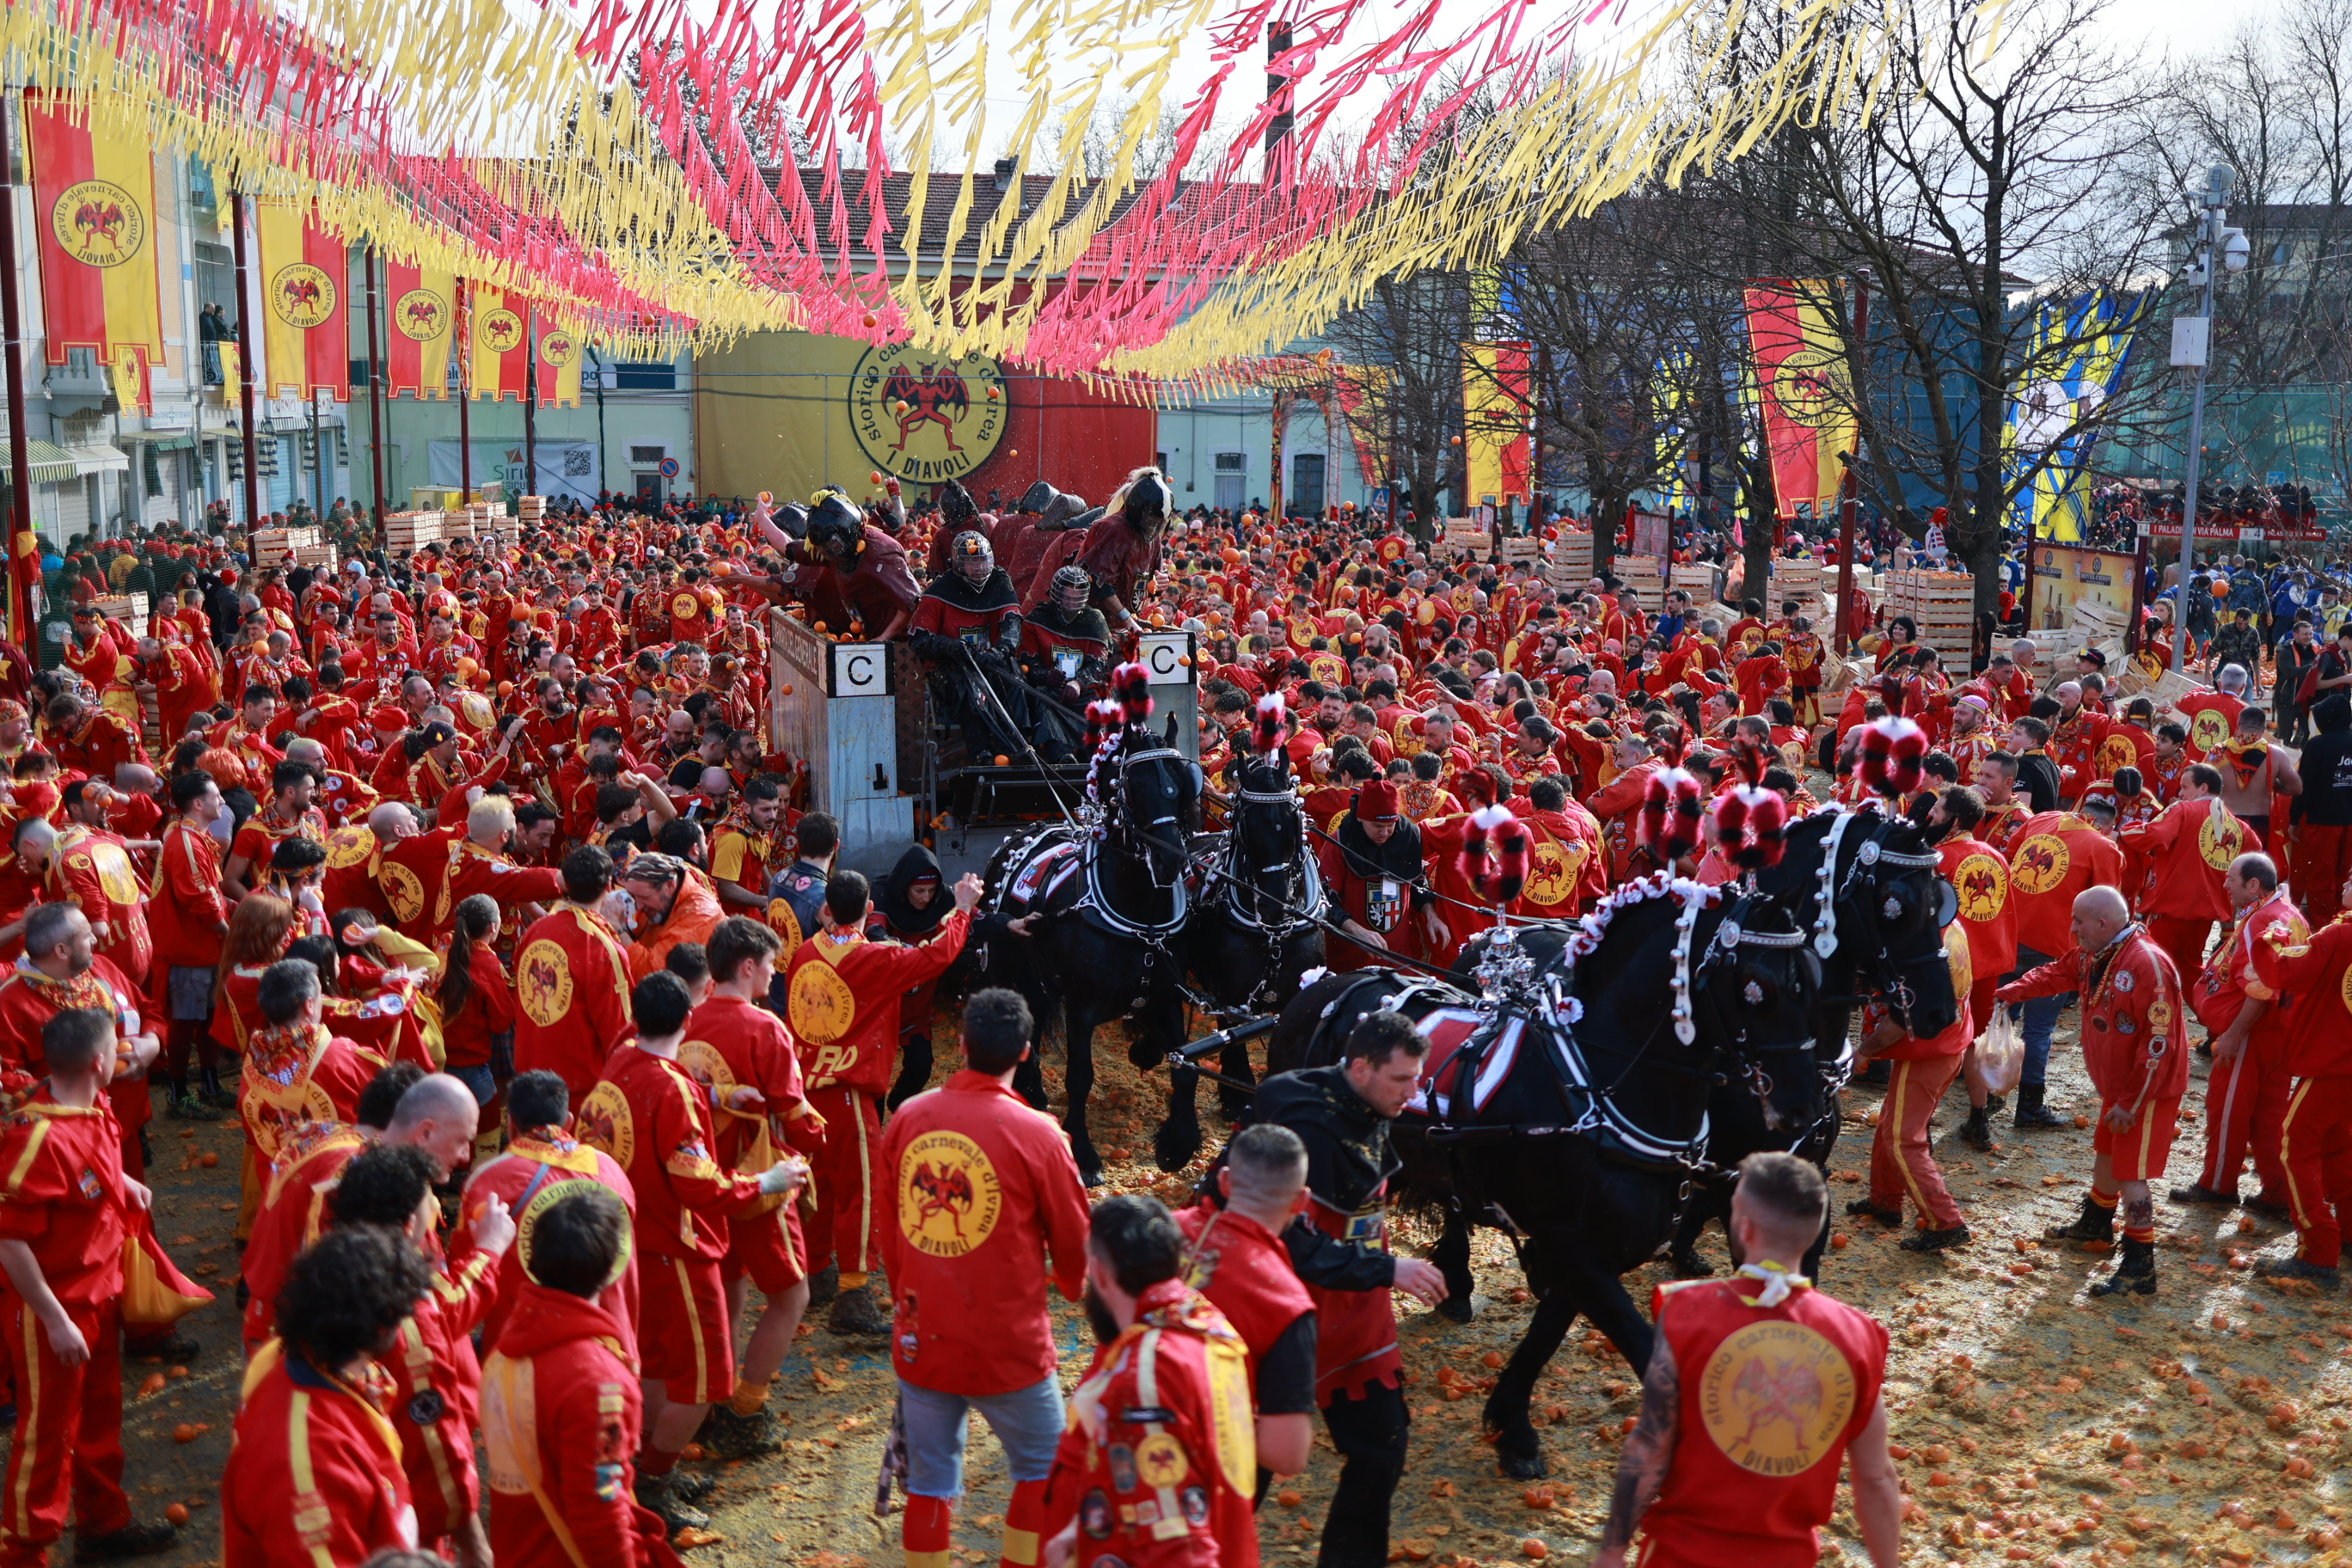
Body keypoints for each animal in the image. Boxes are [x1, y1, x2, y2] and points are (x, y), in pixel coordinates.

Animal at [974, 715, 1204, 1182]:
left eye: (1183, 780)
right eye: (1133, 784)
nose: (1171, 859)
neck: (1138, 914)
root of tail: (1022, 831)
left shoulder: (1167, 996)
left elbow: (1185, 1067)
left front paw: (1178, 1144)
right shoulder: (1082, 1008)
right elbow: (1080, 1077)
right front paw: (1083, 1152)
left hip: (1040, 980)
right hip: (1010, 973)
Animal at [1154, 746, 1329, 1174]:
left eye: (1294, 820)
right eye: (1246, 824)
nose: (1274, 903)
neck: (1274, 933)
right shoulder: (1230, 991)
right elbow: (1232, 1033)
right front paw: (1234, 1095)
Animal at [1265, 871, 1830, 1479]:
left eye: (1814, 980)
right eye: (1757, 986)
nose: (1806, 1107)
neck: (1598, 1084)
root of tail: (1318, 990)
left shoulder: (1585, 1248)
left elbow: (1547, 1331)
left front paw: (1511, 1424)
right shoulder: (1572, 1247)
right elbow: (1641, 1344)